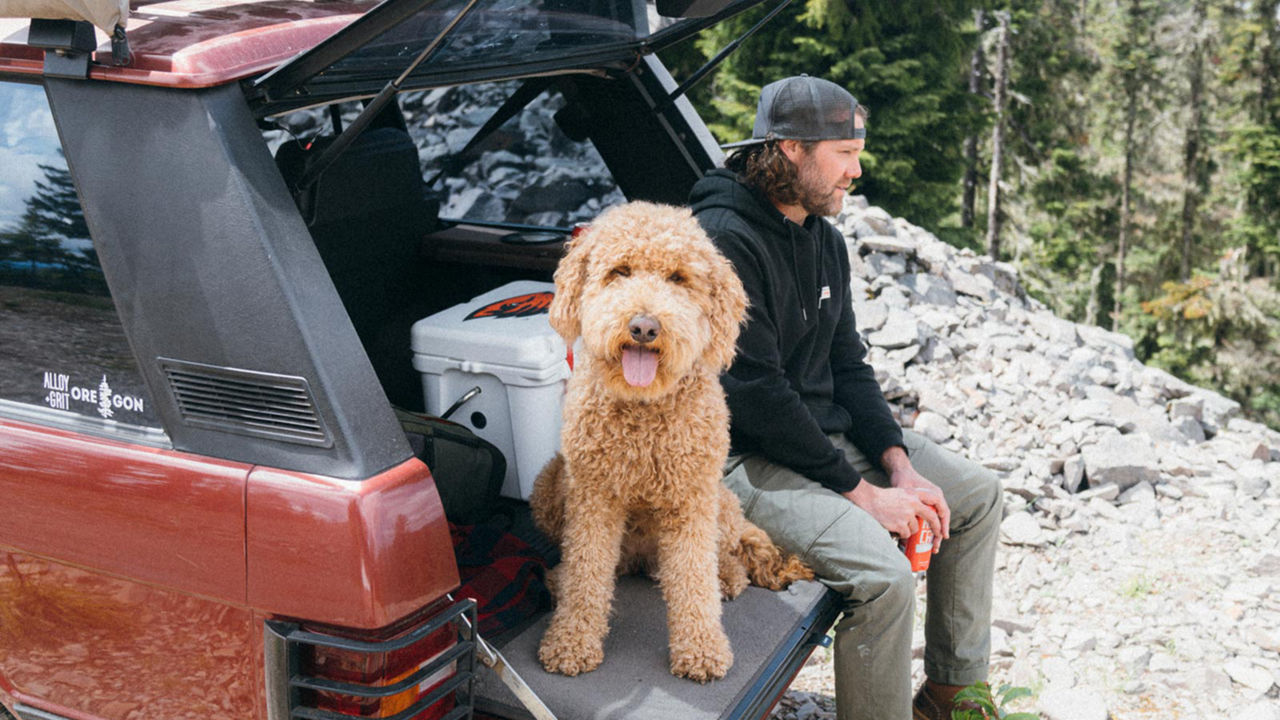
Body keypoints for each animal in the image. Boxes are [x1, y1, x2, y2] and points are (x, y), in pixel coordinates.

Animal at [527, 198, 808, 681]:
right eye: (619, 271)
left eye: (678, 278)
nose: (644, 327)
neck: (644, 410)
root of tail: (642, 559)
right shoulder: (593, 498)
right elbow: (586, 573)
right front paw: (571, 640)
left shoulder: (691, 500)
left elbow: (694, 578)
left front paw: (702, 649)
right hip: (549, 486)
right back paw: (559, 579)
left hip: (722, 504)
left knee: (725, 554)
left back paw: (727, 577)